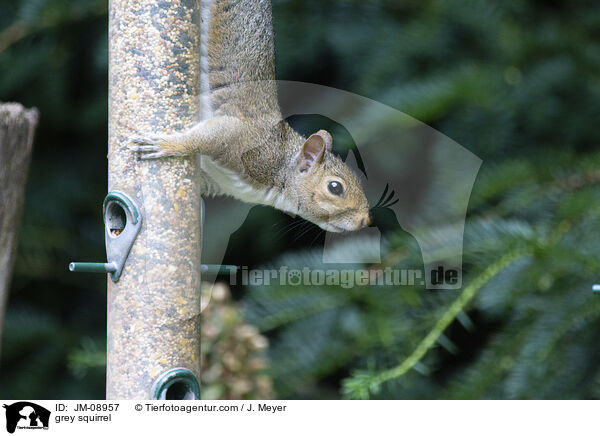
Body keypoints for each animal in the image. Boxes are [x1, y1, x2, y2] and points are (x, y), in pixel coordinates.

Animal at [131, 0, 370, 232]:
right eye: (335, 187)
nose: (366, 221)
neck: (280, 167)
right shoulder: (244, 140)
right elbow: (205, 138)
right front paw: (167, 145)